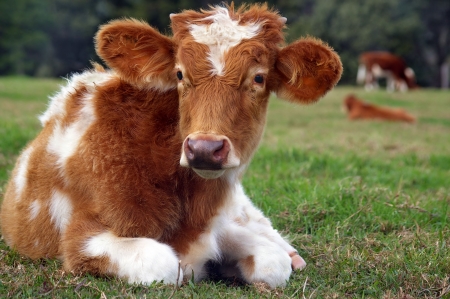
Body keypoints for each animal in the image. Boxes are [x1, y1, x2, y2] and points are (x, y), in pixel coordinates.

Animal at [0, 2, 342, 288]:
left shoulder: (218, 223)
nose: (205, 148)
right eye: (180, 74)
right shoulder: (81, 238)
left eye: (258, 78)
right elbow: (164, 263)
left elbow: (272, 264)